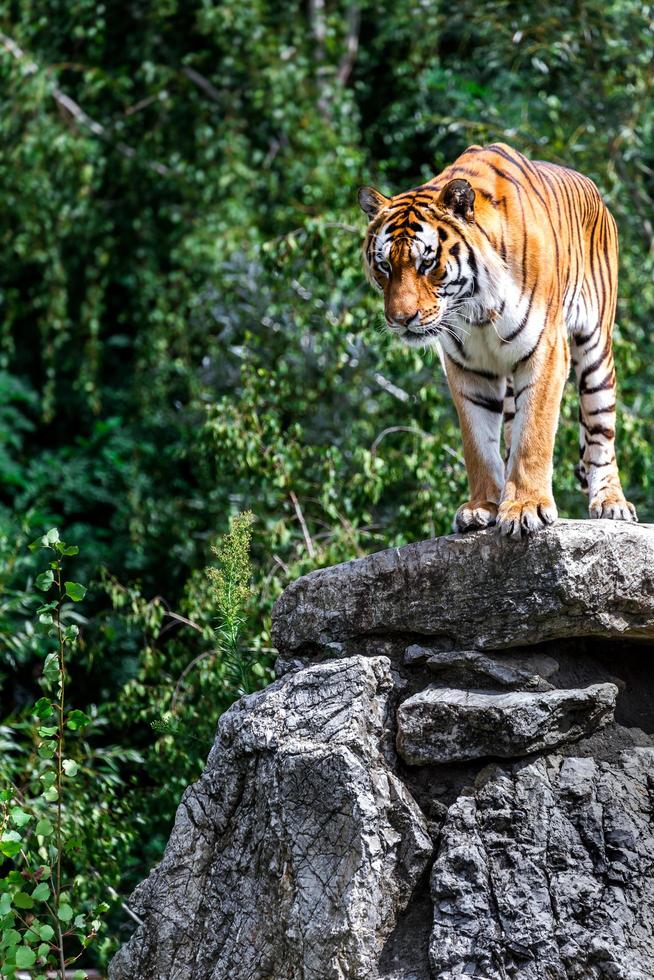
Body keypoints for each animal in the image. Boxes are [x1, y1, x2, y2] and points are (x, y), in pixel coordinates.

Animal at [362, 142, 640, 536]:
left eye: (426, 263)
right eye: (384, 265)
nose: (400, 320)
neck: (474, 306)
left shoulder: (546, 351)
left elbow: (533, 435)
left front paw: (526, 507)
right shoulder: (468, 368)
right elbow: (478, 444)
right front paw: (482, 508)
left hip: (596, 347)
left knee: (601, 432)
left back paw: (611, 502)